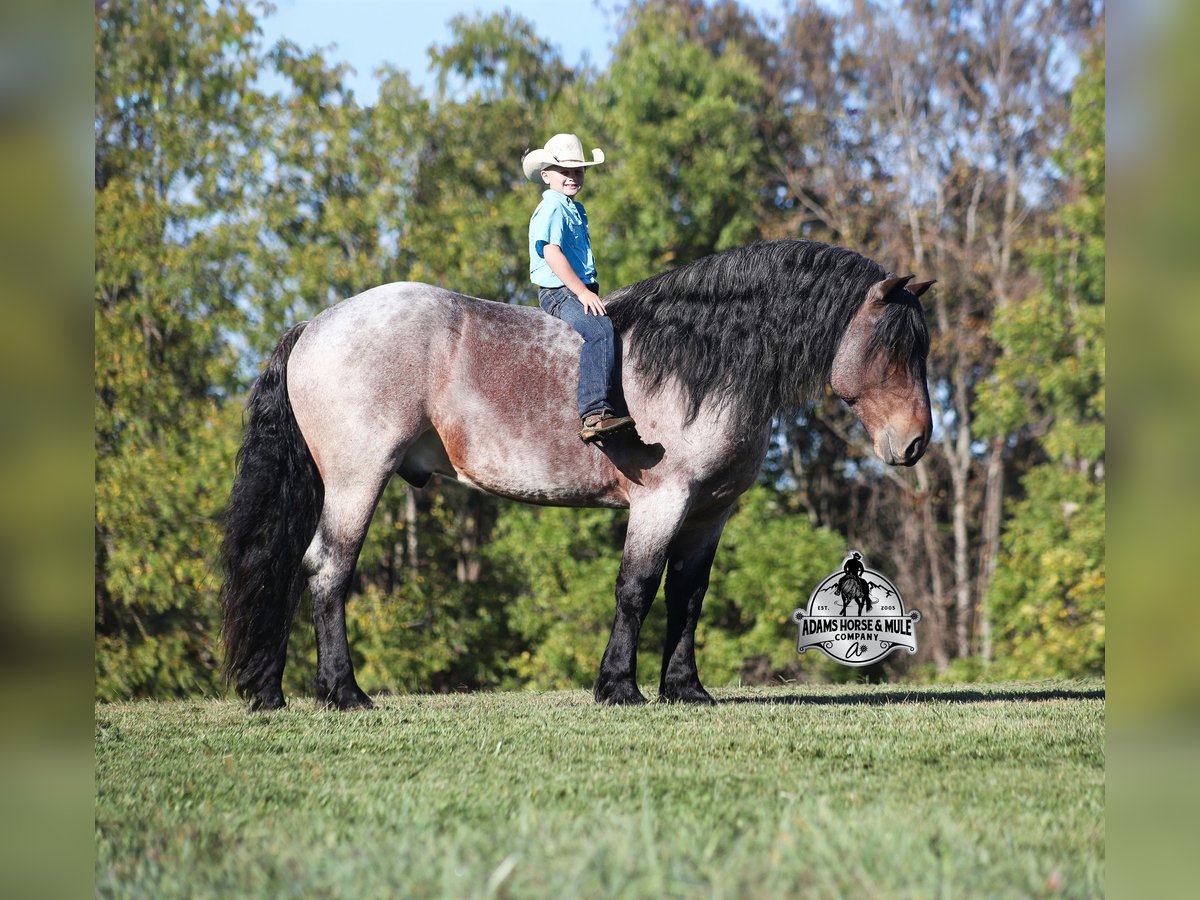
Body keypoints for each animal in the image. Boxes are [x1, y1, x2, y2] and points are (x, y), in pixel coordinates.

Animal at [219, 240, 934, 711]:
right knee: (327, 570)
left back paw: (275, 691)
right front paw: (619, 688)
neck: (700, 363)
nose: (916, 442)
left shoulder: (709, 512)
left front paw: (686, 689)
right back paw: (344, 693)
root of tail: (314, 325)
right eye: (894, 347)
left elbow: (688, 596)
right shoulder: (662, 502)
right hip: (356, 481)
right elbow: (637, 589)